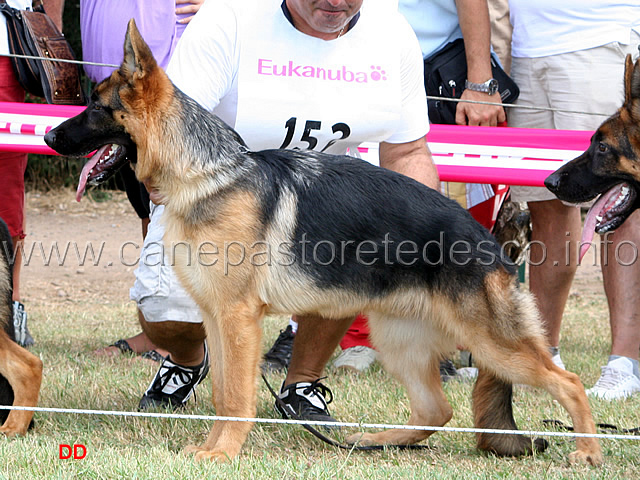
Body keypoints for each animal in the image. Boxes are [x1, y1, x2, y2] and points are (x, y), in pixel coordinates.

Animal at [42, 20, 604, 466]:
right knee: (437, 409)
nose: (47, 137)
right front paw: (213, 447)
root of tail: (490, 245)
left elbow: (237, 397)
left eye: (95, 107)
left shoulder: (237, 320)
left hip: (491, 343)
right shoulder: (219, 319)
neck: (208, 174)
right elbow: (223, 392)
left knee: (568, 381)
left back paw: (588, 451)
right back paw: (376, 441)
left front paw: (224, 454)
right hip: (399, 341)